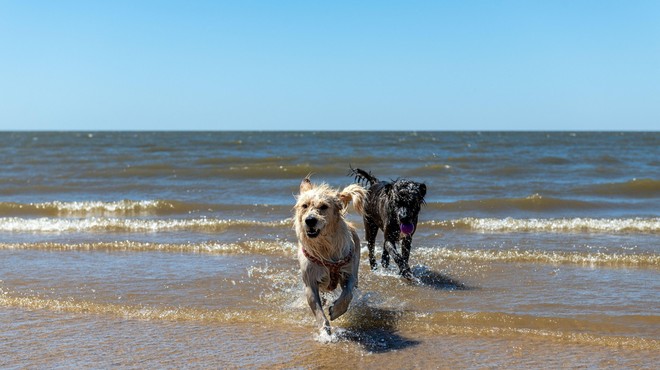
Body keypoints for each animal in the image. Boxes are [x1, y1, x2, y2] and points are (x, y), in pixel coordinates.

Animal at [294, 176, 366, 336]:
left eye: (324, 206)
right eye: (304, 205)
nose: (310, 220)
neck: (324, 247)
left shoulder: (349, 273)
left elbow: (348, 294)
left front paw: (336, 310)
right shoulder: (310, 283)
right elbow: (317, 309)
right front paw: (325, 331)